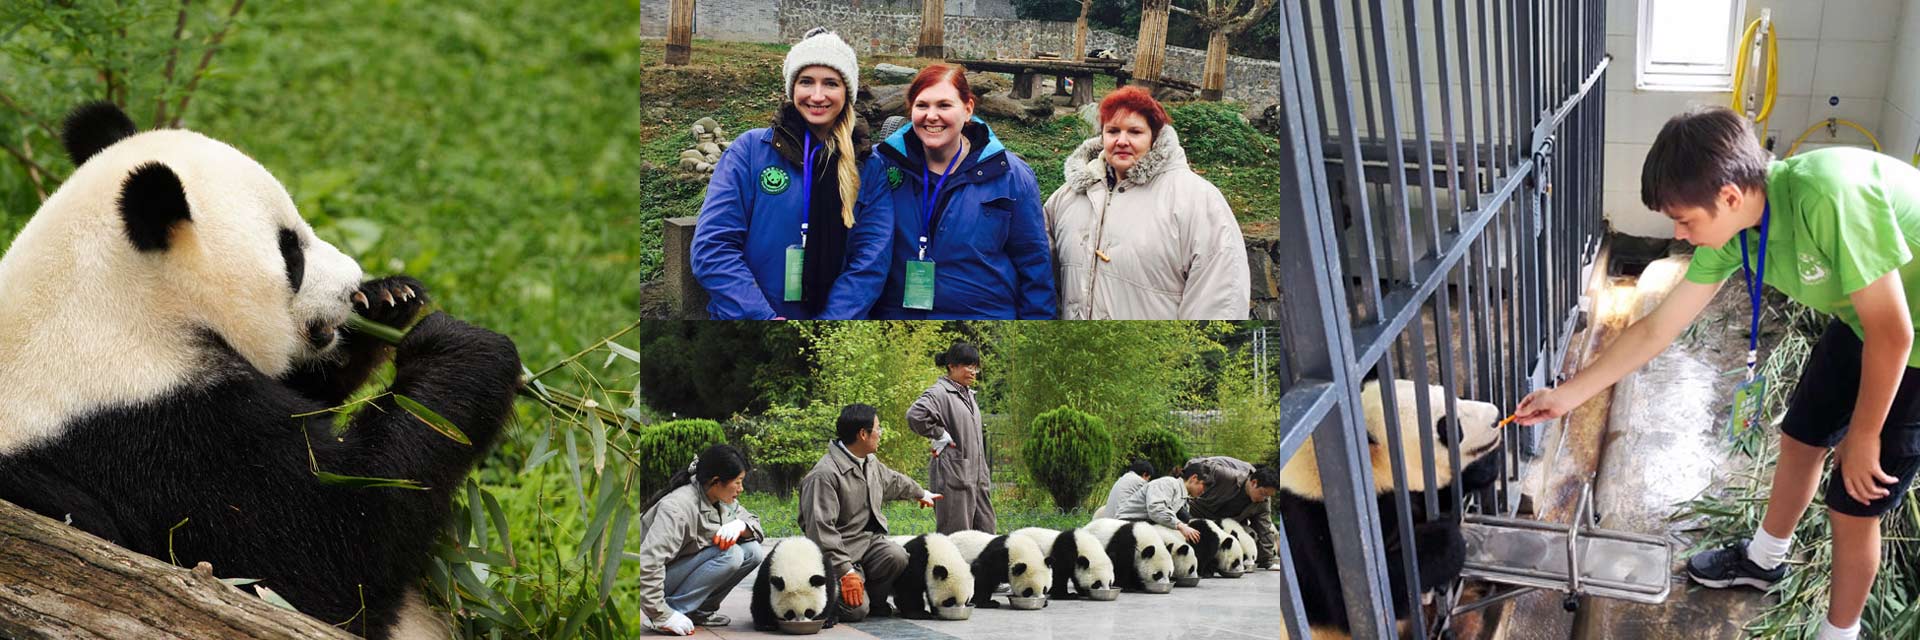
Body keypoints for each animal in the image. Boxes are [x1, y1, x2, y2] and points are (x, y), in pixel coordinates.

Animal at [0, 102, 526, 634]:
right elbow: (329, 551)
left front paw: (387, 301)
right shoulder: (147, 435)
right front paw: (463, 351)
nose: (351, 282)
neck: (106, 299)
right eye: (290, 251)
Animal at [1282, 376, 1505, 634]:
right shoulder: (1313, 523)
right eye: (1448, 429)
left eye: (1452, 395)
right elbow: (1353, 600)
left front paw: (1482, 466)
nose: (1496, 417)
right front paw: (1444, 541)